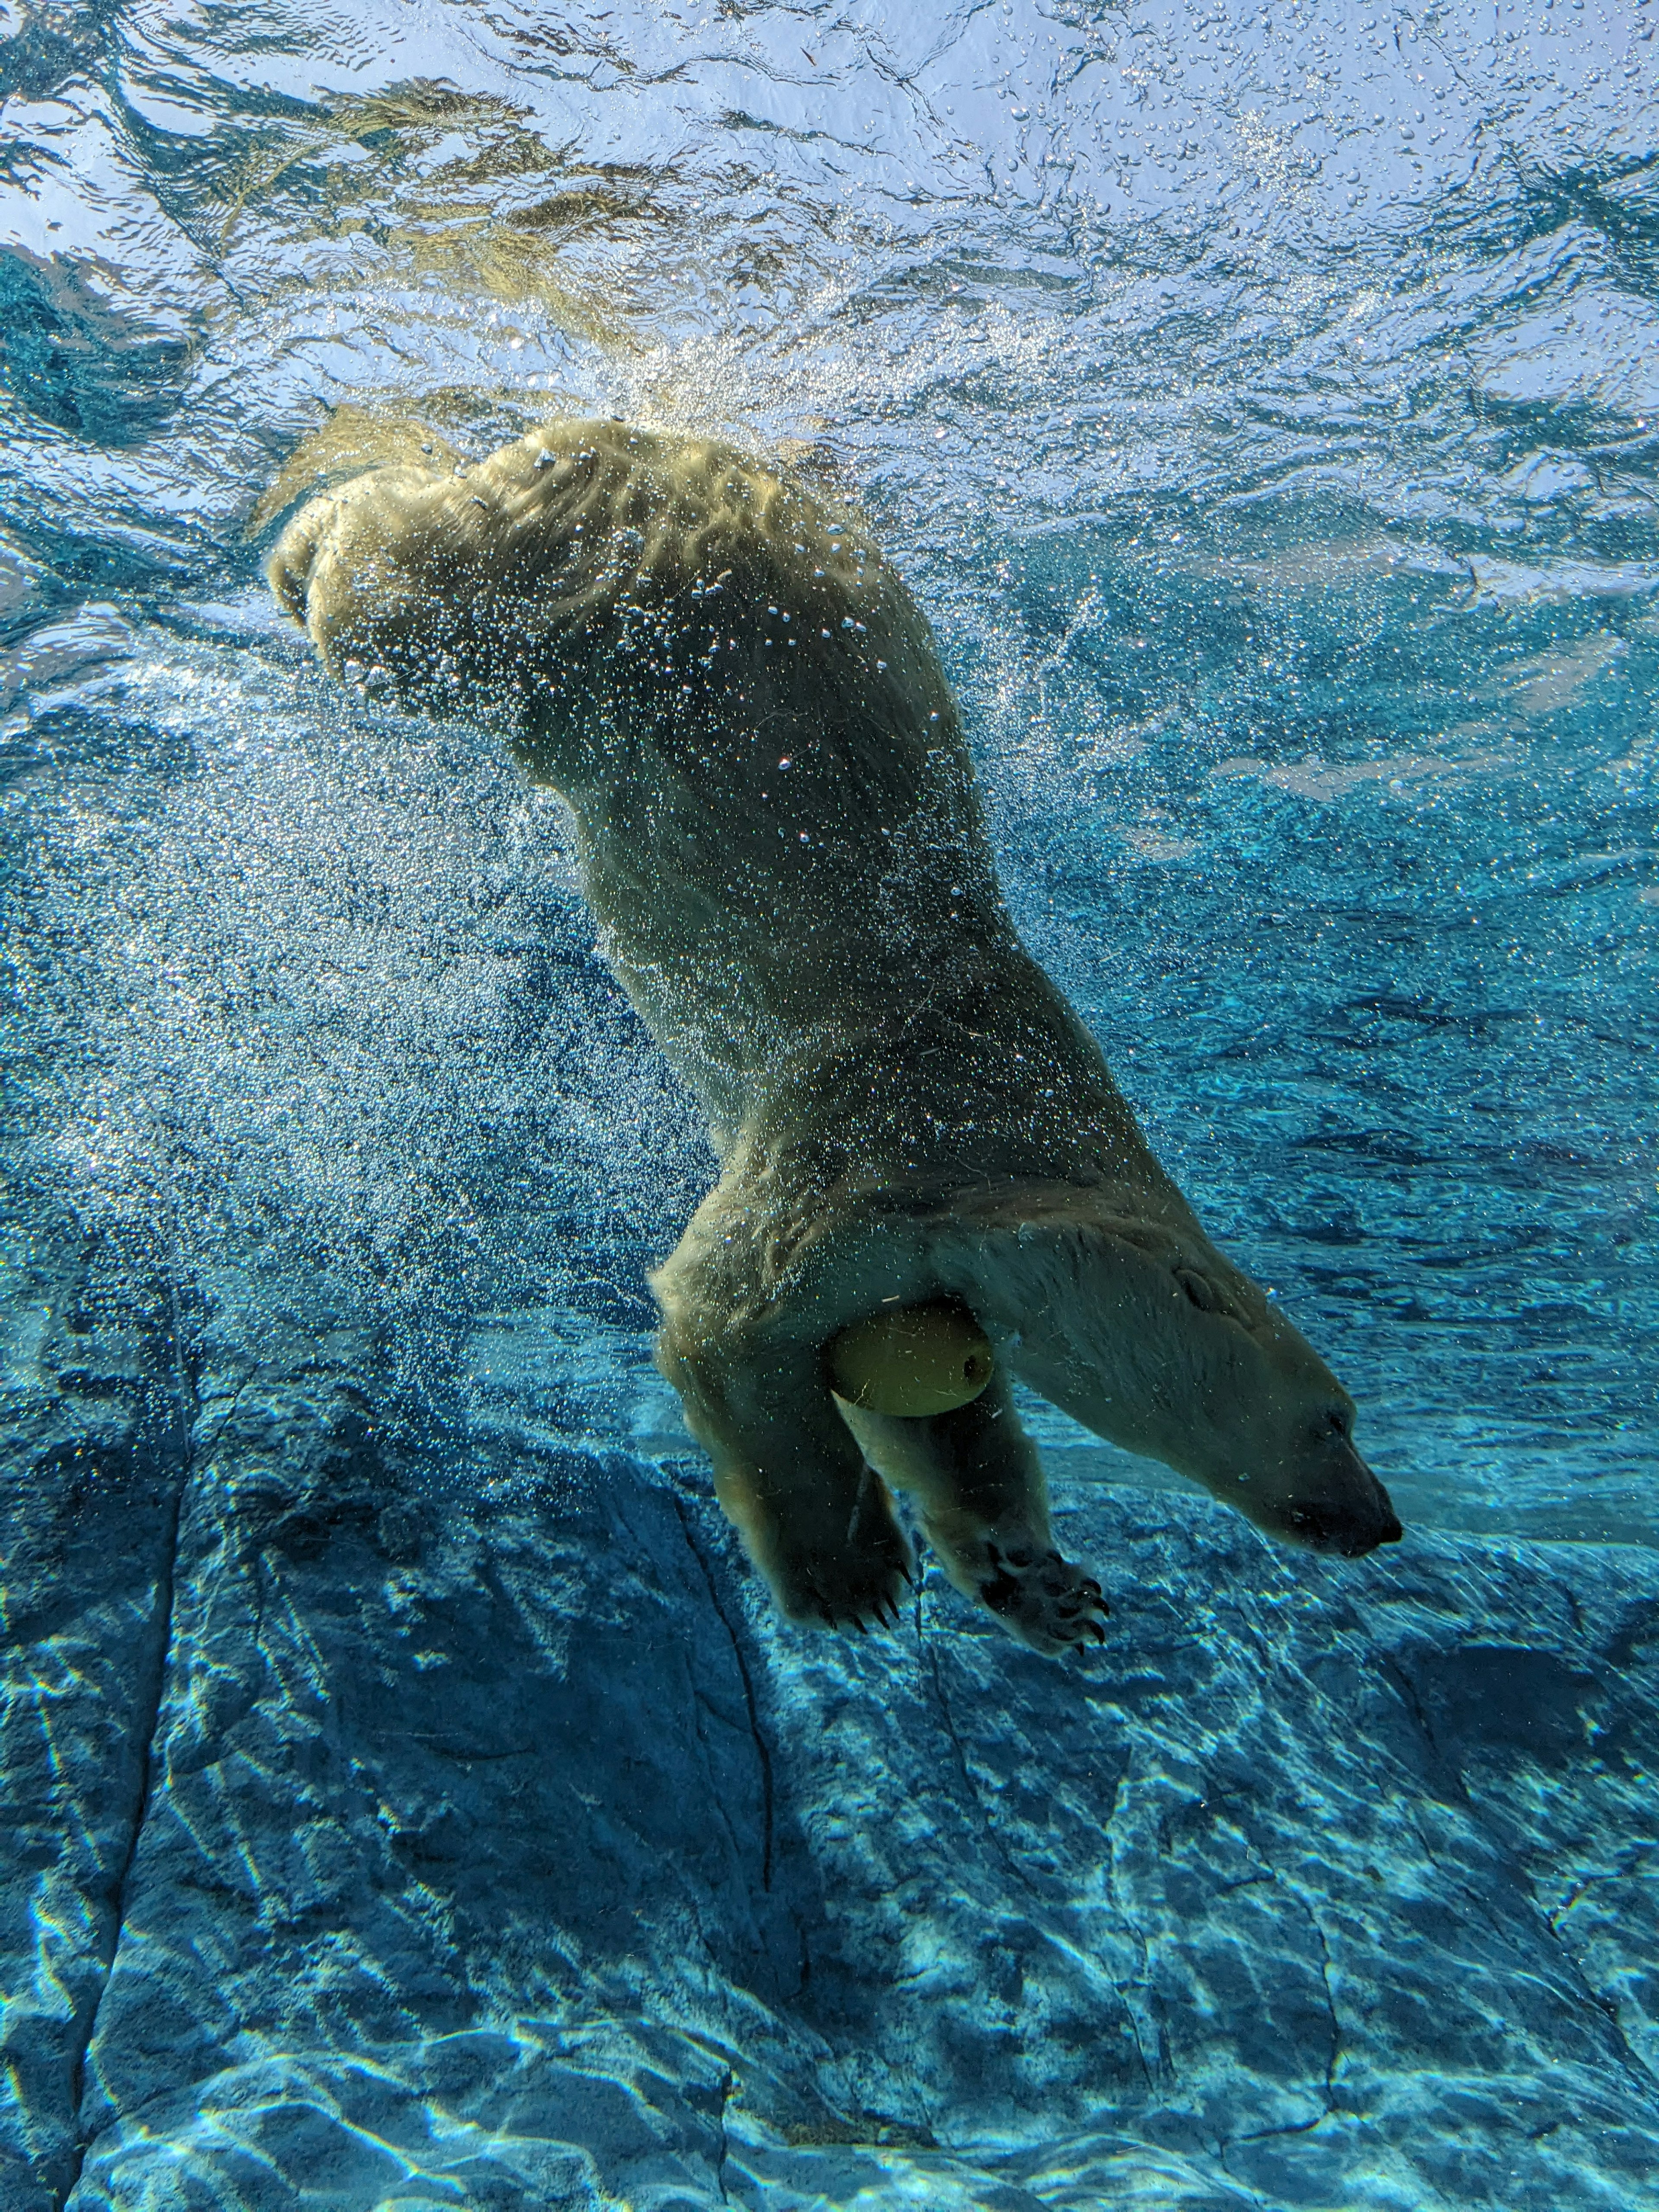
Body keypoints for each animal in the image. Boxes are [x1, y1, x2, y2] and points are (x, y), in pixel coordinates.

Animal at [270, 416, 1407, 1663]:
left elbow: (928, 1402)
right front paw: (845, 1573)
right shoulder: (869, 1152)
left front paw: (1040, 1584)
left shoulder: (933, 1257)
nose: (1384, 1521)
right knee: (406, 603)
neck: (1012, 1121)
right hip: (595, 588)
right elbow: (729, 1314)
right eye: (1335, 1417)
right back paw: (307, 537)